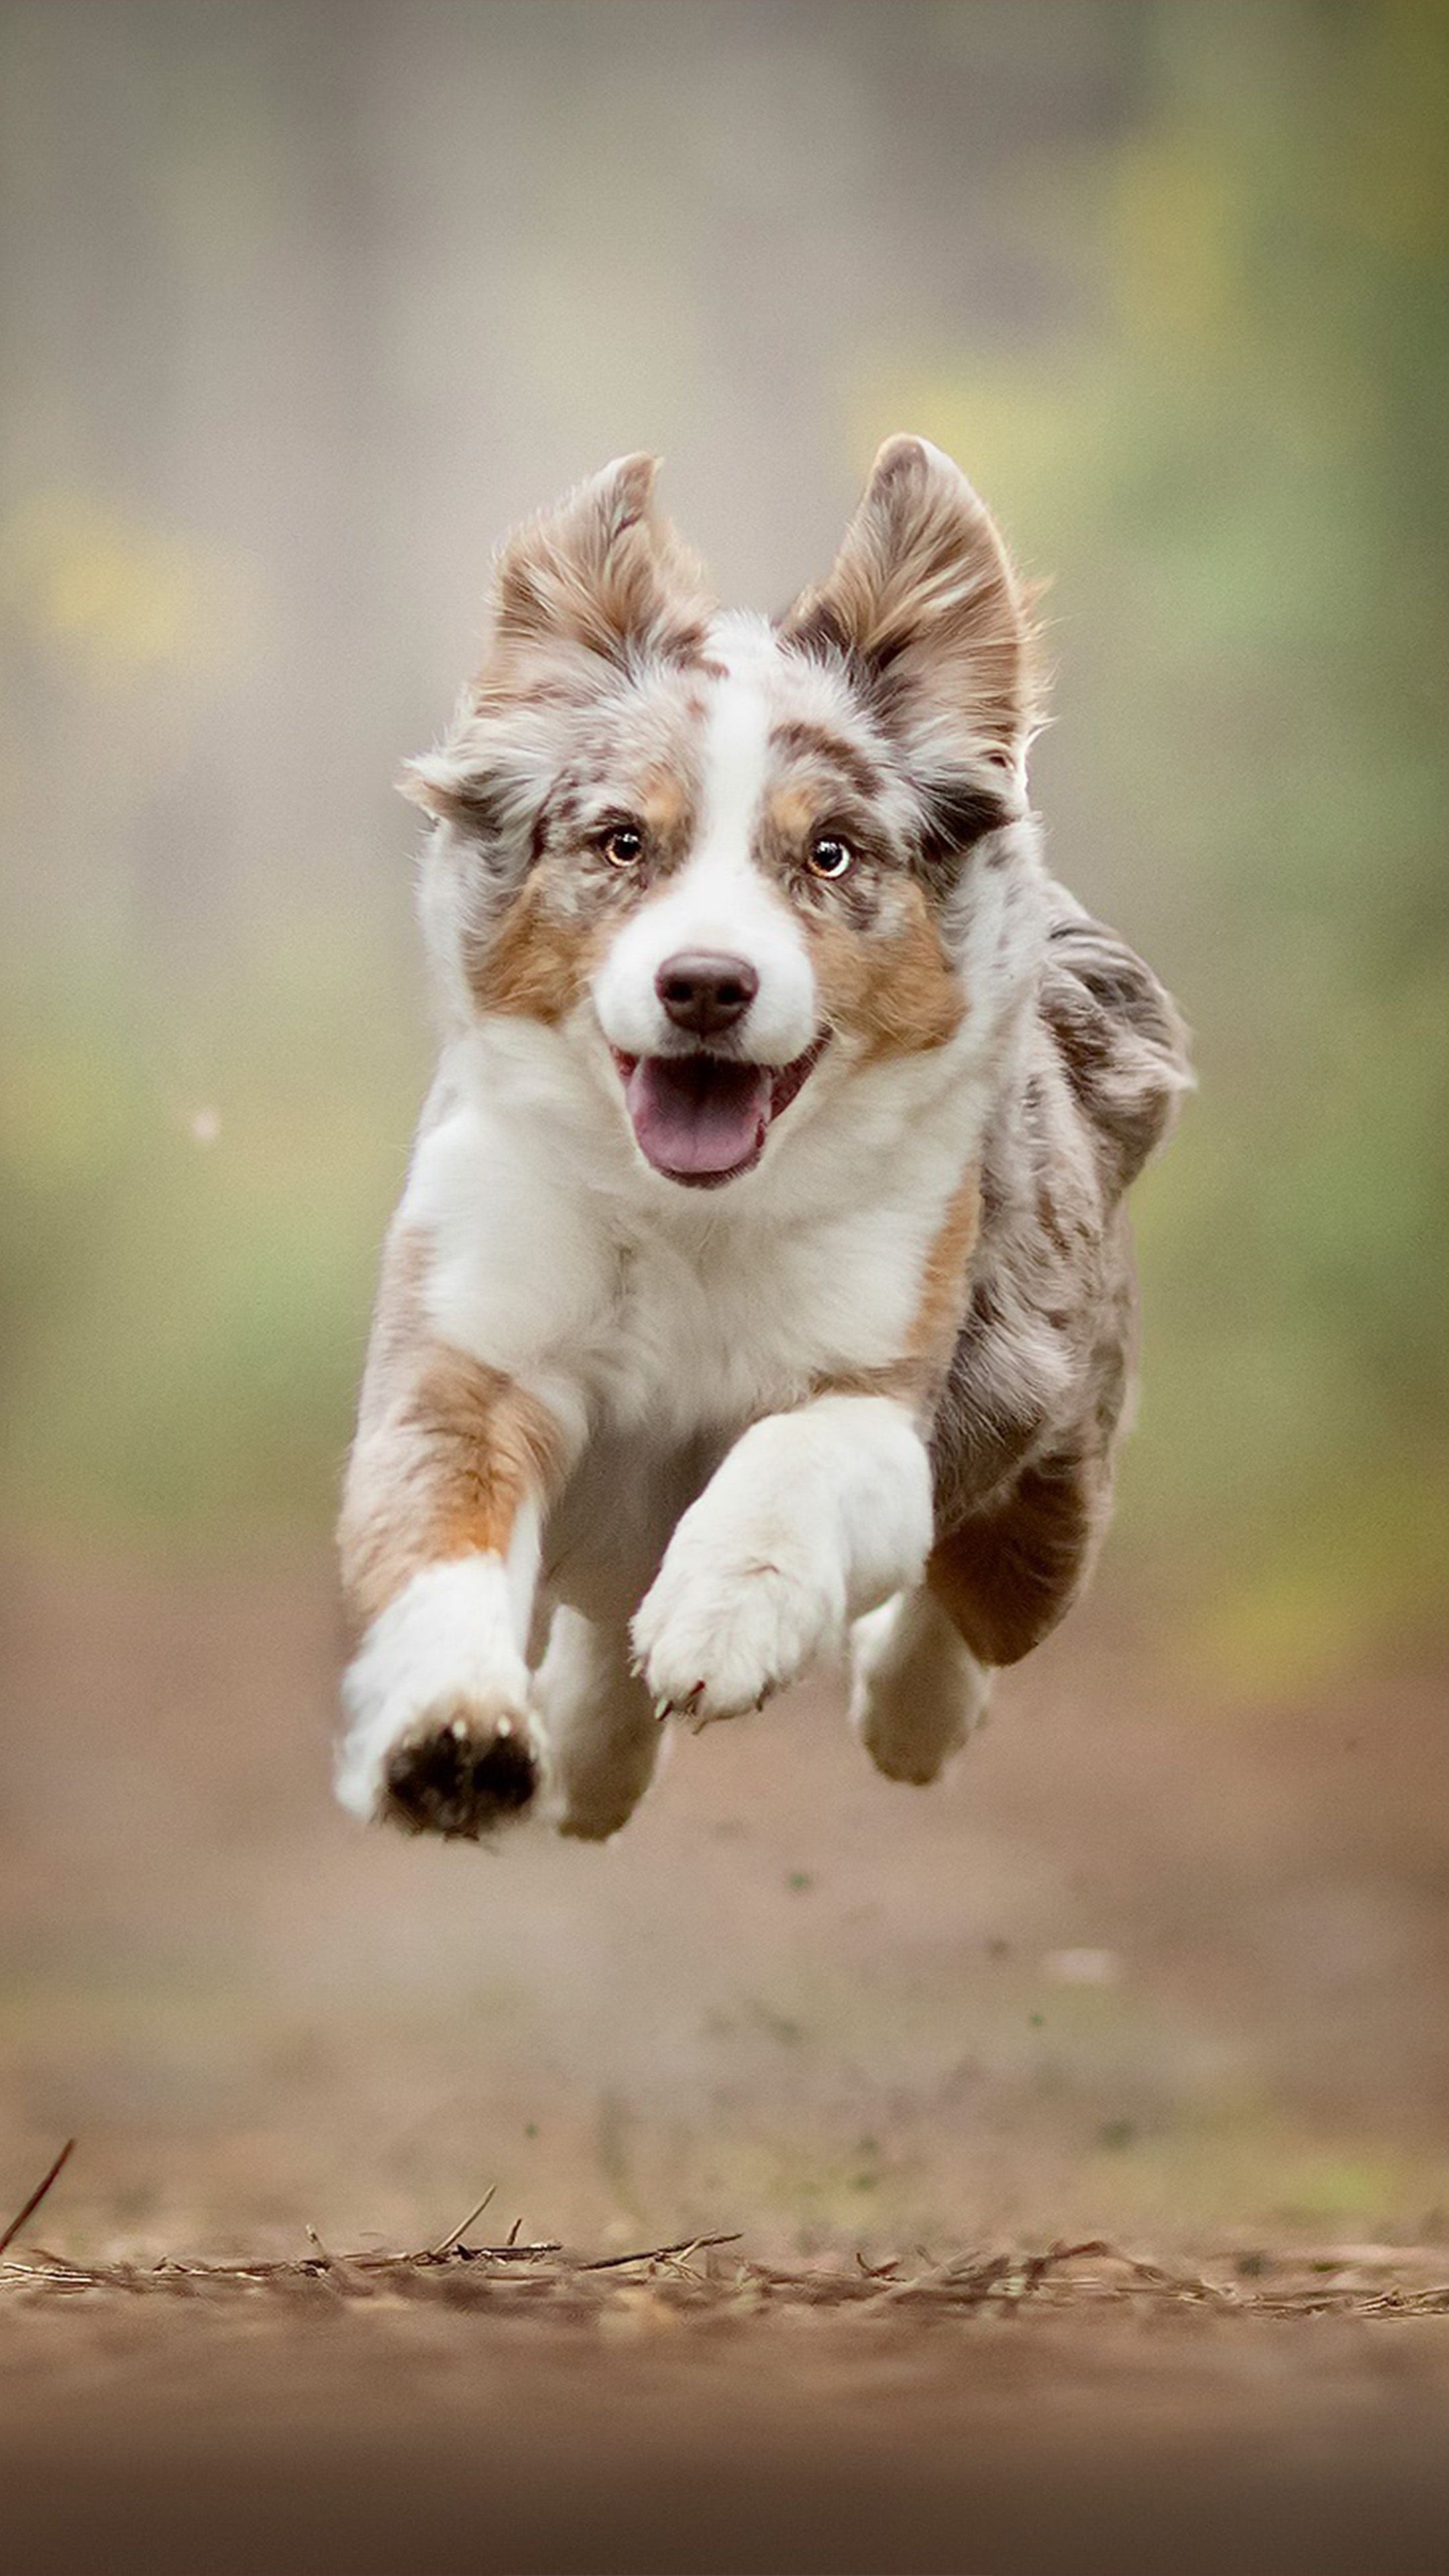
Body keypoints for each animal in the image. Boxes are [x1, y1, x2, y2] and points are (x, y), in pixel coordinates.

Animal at [335, 448, 1185, 1854]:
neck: (690, 1216)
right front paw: (451, 1735)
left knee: (974, 1603)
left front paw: (723, 1617)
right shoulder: (471, 1353)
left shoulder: (888, 1382)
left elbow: (797, 1460)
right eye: (624, 842)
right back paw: (587, 1751)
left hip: (1050, 1463)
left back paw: (910, 1720)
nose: (704, 986)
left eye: (829, 853)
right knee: (594, 1611)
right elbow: (439, 1533)